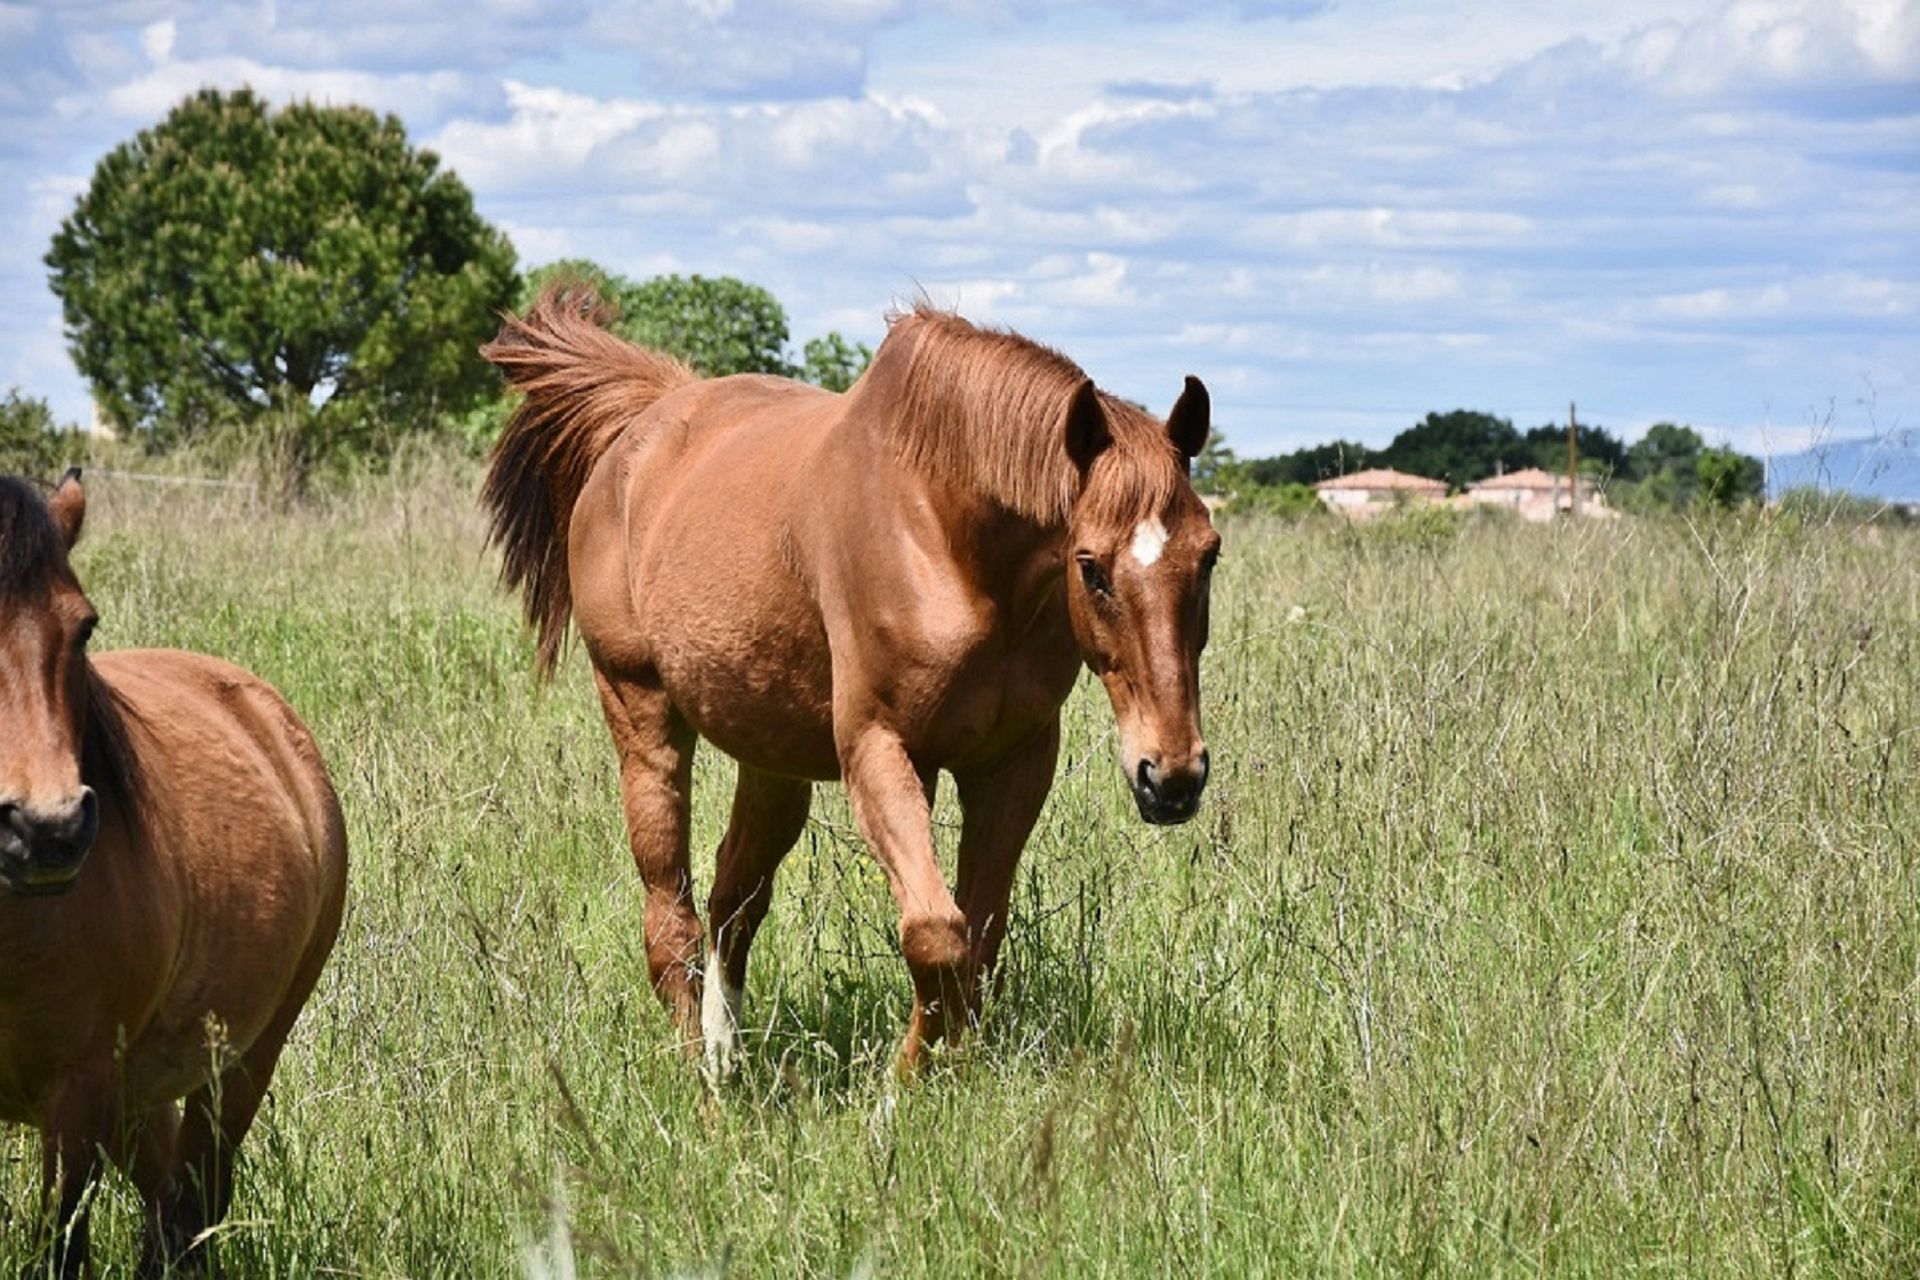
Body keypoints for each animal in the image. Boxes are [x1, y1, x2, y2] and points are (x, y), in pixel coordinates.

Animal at [0, 472, 348, 1276]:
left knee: (191, 1207)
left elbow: (62, 1246)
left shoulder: (80, 1091)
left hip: (241, 1064)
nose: (46, 830)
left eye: (83, 627)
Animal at [481, 291, 1218, 1077]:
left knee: (734, 899)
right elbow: (935, 933)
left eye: (1209, 554)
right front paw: (902, 1086)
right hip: (642, 718)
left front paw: (955, 1069)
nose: (1172, 778)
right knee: (669, 921)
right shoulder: (880, 750)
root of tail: (646, 420)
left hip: (772, 762)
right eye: (1091, 566)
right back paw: (701, 1078)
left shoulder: (1014, 763)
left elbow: (979, 934)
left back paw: (727, 1055)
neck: (946, 537)